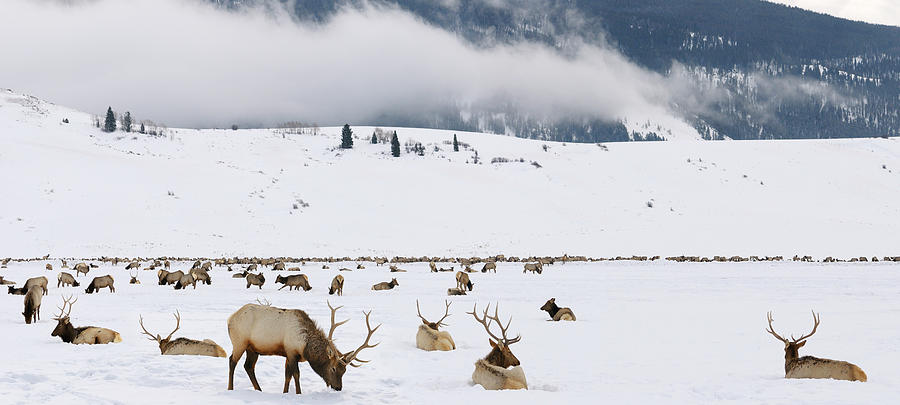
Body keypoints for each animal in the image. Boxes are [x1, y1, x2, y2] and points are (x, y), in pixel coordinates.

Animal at [229, 302, 380, 392]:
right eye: (333, 368)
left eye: (344, 371)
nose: (338, 388)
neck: (305, 346)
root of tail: (229, 319)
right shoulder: (291, 351)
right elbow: (296, 374)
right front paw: (298, 393)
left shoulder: (288, 354)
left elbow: (287, 376)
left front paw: (285, 392)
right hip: (239, 342)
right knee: (232, 361)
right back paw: (230, 388)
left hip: (252, 349)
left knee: (248, 366)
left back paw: (259, 389)